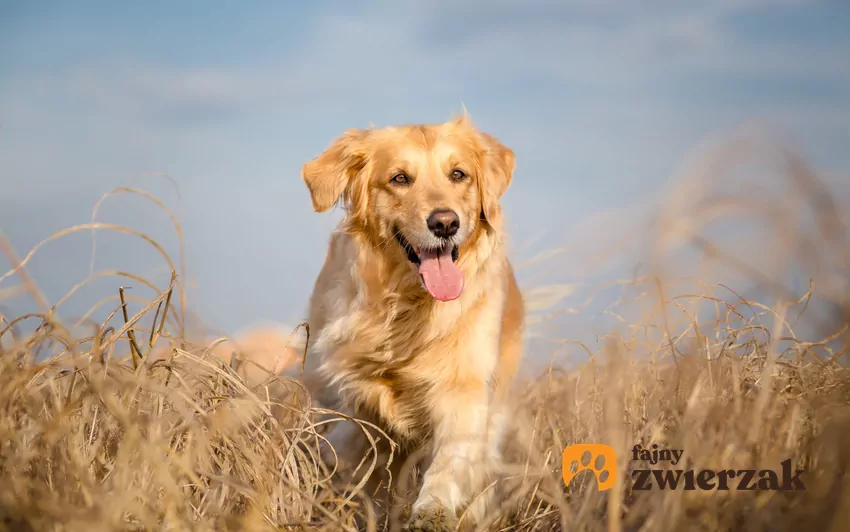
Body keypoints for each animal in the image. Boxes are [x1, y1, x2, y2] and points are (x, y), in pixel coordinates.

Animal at [298, 113, 524, 532]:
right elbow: (353, 459)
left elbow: (451, 459)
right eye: (400, 178)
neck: (408, 306)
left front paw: (433, 508)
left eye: (458, 174)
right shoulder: (354, 400)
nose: (445, 223)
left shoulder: (465, 388)